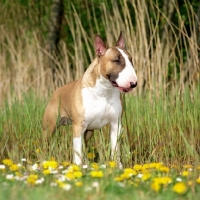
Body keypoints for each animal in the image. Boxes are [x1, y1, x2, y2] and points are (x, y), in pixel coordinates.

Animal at [43, 32, 138, 166]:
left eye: (131, 60)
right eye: (116, 60)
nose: (134, 83)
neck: (104, 91)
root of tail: (56, 92)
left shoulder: (116, 124)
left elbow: (115, 149)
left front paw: (118, 166)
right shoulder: (78, 126)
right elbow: (77, 152)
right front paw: (77, 167)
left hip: (89, 131)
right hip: (49, 128)